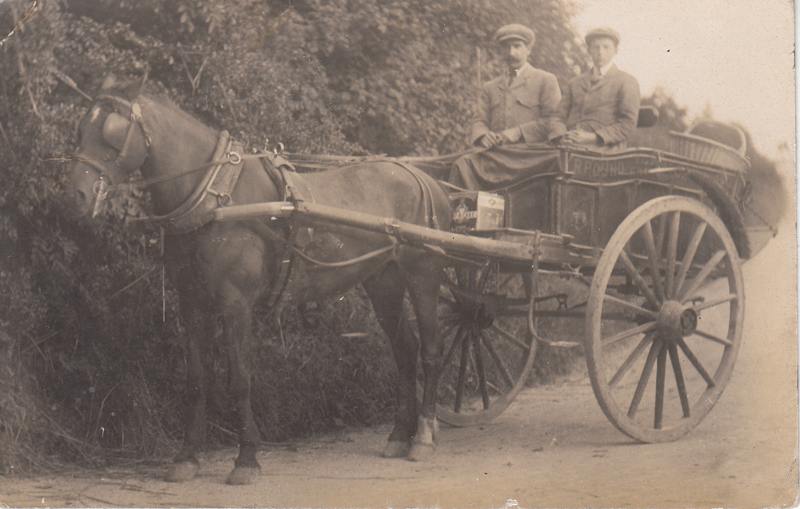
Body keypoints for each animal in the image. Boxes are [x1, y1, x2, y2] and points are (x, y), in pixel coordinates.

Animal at [62, 76, 450, 484]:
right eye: (81, 128)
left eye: (113, 132)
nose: (76, 195)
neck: (214, 198)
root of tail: (425, 179)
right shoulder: (192, 302)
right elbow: (196, 379)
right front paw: (187, 457)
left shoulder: (236, 303)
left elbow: (240, 378)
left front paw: (246, 458)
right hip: (383, 282)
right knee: (405, 350)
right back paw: (399, 435)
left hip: (423, 275)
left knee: (431, 350)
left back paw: (423, 436)